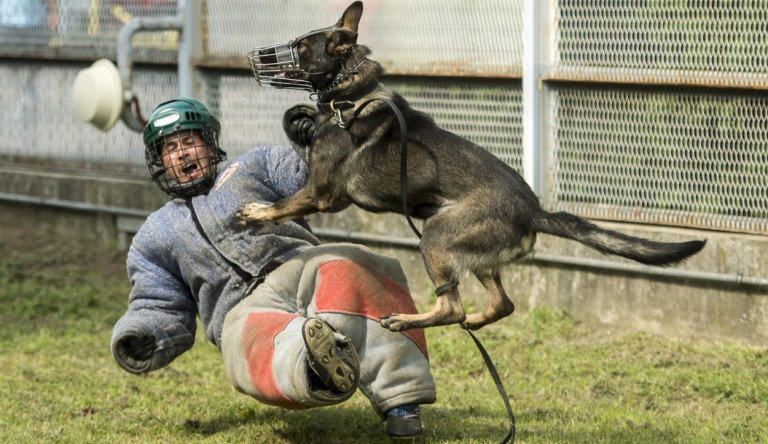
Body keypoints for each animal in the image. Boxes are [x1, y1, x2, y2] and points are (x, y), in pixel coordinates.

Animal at [237, 1, 704, 332]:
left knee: (451, 306)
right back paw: (476, 321)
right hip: (476, 255)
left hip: (435, 237)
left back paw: (409, 320)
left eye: (301, 49)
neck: (349, 95)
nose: (255, 57)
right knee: (501, 304)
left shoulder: (321, 195)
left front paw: (255, 213)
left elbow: (283, 204)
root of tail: (532, 209)